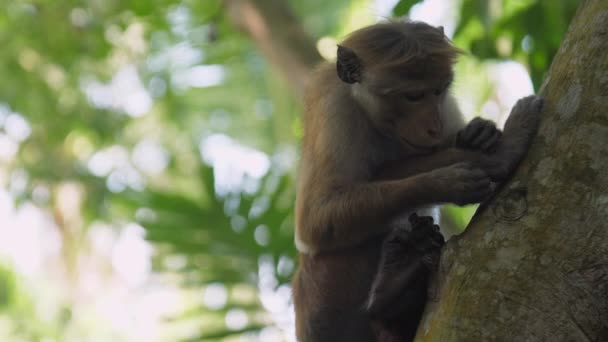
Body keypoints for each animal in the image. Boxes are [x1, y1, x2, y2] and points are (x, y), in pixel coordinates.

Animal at [292, 20, 544, 340]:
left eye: (437, 90)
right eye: (412, 96)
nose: (434, 126)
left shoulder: (446, 108)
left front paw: (480, 132)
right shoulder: (335, 111)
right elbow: (315, 222)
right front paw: (464, 172)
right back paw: (391, 293)